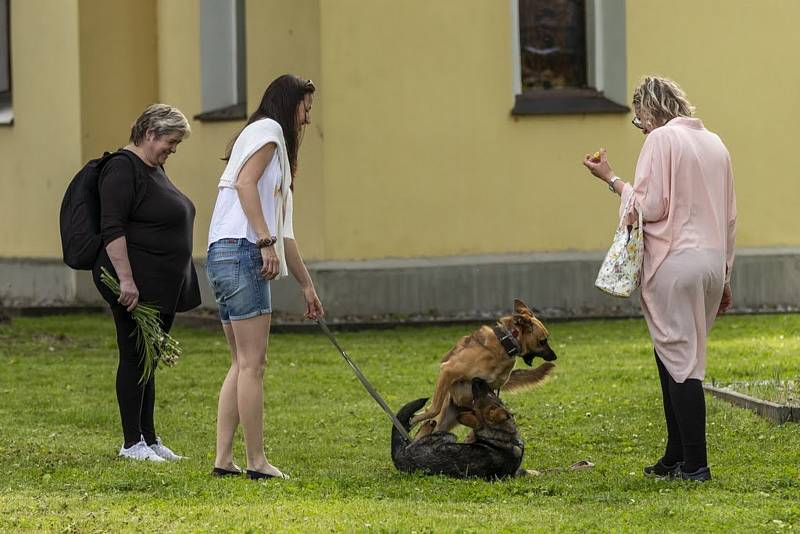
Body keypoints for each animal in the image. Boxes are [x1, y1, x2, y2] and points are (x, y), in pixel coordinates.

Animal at [410, 300, 552, 442]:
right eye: (543, 341)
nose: (554, 356)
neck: (505, 344)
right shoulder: (448, 370)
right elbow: (434, 408)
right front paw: (413, 420)